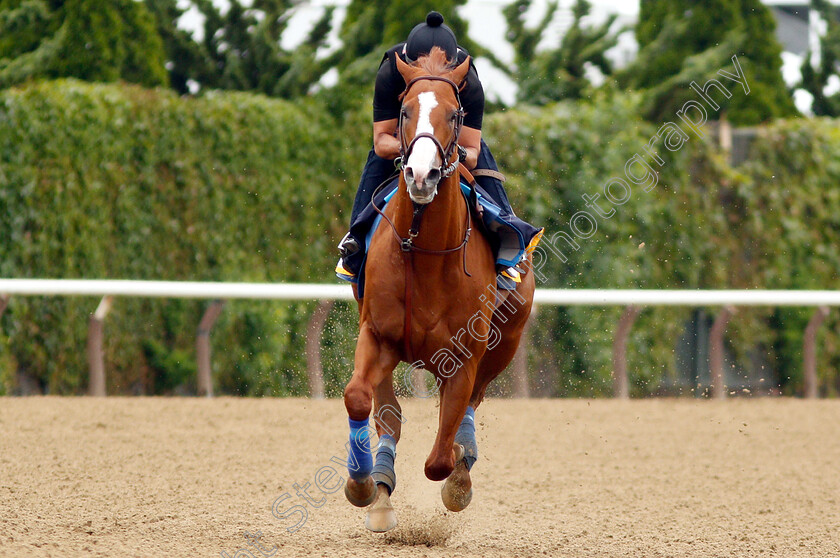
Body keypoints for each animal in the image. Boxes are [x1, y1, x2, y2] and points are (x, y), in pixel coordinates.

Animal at [340, 49, 532, 532]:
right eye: (405, 110)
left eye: (455, 113)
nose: (421, 174)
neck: (423, 251)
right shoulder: (378, 334)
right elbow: (360, 399)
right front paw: (362, 483)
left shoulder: (464, 356)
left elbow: (440, 460)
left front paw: (458, 476)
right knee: (389, 415)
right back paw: (381, 491)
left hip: (504, 343)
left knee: (469, 407)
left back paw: (462, 467)